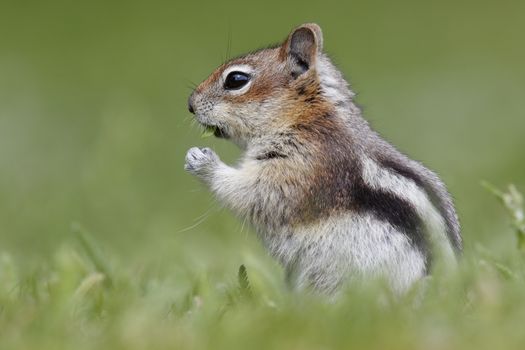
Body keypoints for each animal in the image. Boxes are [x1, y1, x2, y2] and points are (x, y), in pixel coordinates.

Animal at [183, 23, 458, 294]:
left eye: (236, 80)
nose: (190, 105)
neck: (308, 117)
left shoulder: (307, 164)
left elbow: (257, 193)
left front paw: (203, 161)